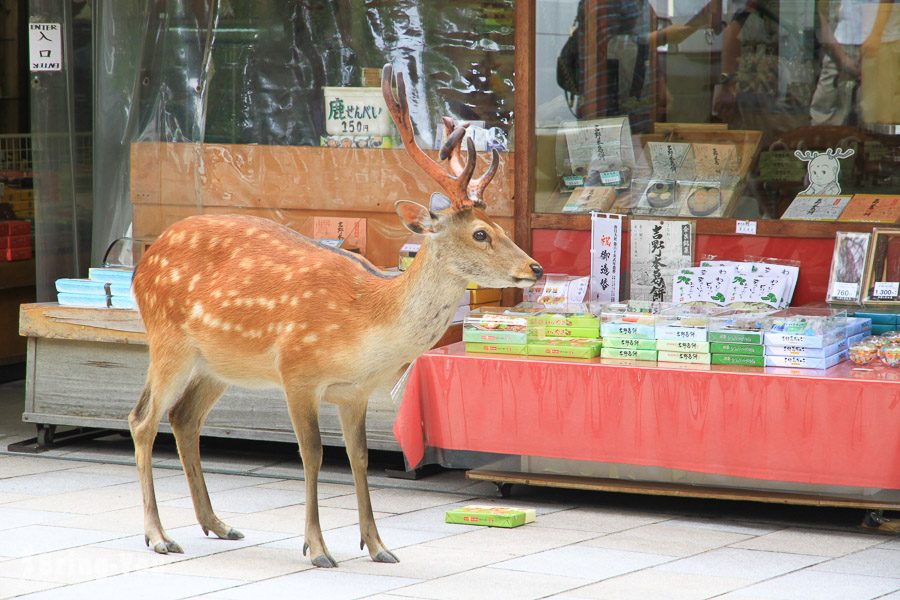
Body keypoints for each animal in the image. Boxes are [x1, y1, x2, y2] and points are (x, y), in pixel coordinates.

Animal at [126, 64, 540, 568]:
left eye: (499, 226)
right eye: (481, 233)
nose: (535, 268)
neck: (364, 323)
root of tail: (143, 262)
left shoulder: (355, 392)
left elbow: (359, 457)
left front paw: (378, 545)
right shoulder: (297, 372)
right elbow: (315, 454)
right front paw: (318, 547)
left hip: (217, 364)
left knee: (184, 418)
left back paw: (218, 524)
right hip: (167, 340)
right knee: (143, 419)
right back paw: (158, 535)